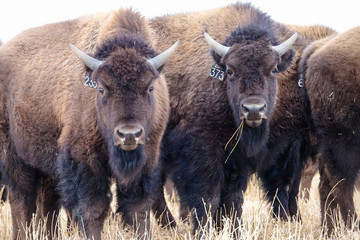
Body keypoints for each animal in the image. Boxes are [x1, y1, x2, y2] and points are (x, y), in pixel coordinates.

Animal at [0, 7, 179, 240]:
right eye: (101, 88)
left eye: (150, 87)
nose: (129, 134)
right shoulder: (84, 161)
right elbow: (94, 209)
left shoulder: (147, 158)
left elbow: (138, 209)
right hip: (15, 156)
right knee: (22, 200)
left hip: (47, 163)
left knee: (47, 204)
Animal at [148, 2, 334, 234]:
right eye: (230, 70)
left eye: (273, 69)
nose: (253, 110)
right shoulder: (203, 150)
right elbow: (209, 195)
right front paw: (204, 229)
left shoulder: (245, 156)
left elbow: (235, 197)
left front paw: (233, 229)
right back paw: (170, 224)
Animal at [300, 26, 360, 234]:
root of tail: (318, 49)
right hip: (344, 140)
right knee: (340, 182)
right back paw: (353, 226)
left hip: (326, 143)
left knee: (326, 184)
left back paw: (329, 230)